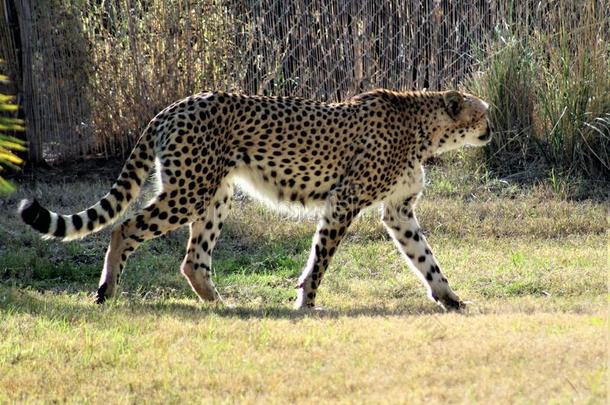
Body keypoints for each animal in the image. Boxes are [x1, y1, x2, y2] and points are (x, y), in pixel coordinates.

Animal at [19, 89, 490, 310]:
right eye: (481, 112)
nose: (491, 128)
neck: (424, 128)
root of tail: (176, 104)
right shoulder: (345, 200)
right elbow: (320, 258)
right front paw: (306, 302)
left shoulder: (398, 211)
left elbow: (426, 258)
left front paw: (450, 298)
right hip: (190, 191)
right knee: (125, 227)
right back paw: (106, 291)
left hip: (217, 194)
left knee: (192, 258)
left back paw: (220, 304)